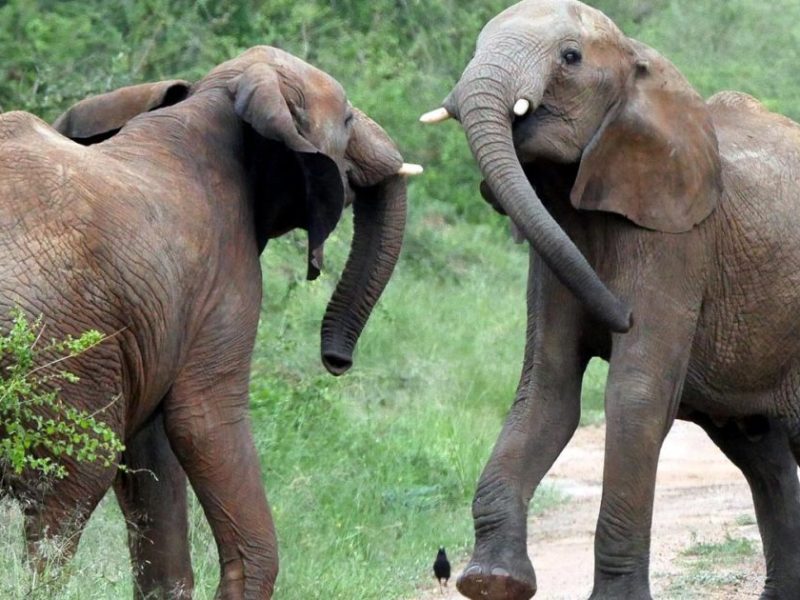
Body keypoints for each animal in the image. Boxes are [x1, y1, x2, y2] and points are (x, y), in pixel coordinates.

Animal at [0, 45, 421, 599]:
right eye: (348, 118)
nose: (336, 360)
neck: (219, 100)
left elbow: (152, 452)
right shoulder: (224, 282)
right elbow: (203, 421)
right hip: (57, 351)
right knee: (65, 500)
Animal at [421, 1, 800, 598]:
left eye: (571, 57)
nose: (620, 316)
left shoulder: (677, 242)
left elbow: (636, 396)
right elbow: (547, 390)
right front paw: (492, 581)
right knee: (763, 457)